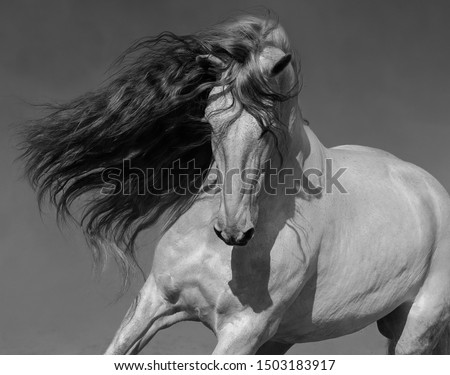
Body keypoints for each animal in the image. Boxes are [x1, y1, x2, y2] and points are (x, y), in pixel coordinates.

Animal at [20, 13, 450, 356]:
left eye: (267, 129)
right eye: (209, 120)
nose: (233, 229)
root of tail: (431, 190)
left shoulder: (242, 333)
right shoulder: (154, 300)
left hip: (416, 328)